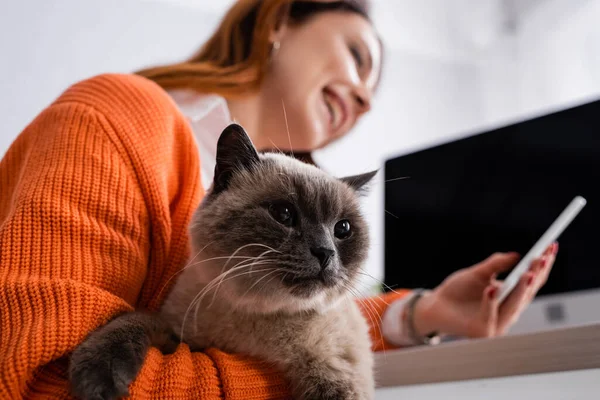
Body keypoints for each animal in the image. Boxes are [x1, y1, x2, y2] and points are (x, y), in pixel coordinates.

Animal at [69, 123, 376, 398]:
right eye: (283, 213)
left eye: (343, 229)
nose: (325, 252)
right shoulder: (180, 338)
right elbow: (135, 320)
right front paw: (98, 378)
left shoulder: (338, 380)